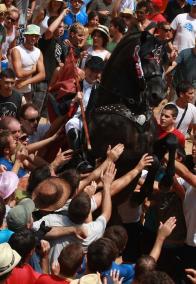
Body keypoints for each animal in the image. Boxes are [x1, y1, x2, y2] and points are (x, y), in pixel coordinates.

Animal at [86, 28, 177, 202]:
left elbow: (171, 140)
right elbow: (154, 160)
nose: (158, 94)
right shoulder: (121, 154)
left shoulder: (151, 144)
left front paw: (166, 181)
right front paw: (145, 191)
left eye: (165, 61)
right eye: (147, 56)